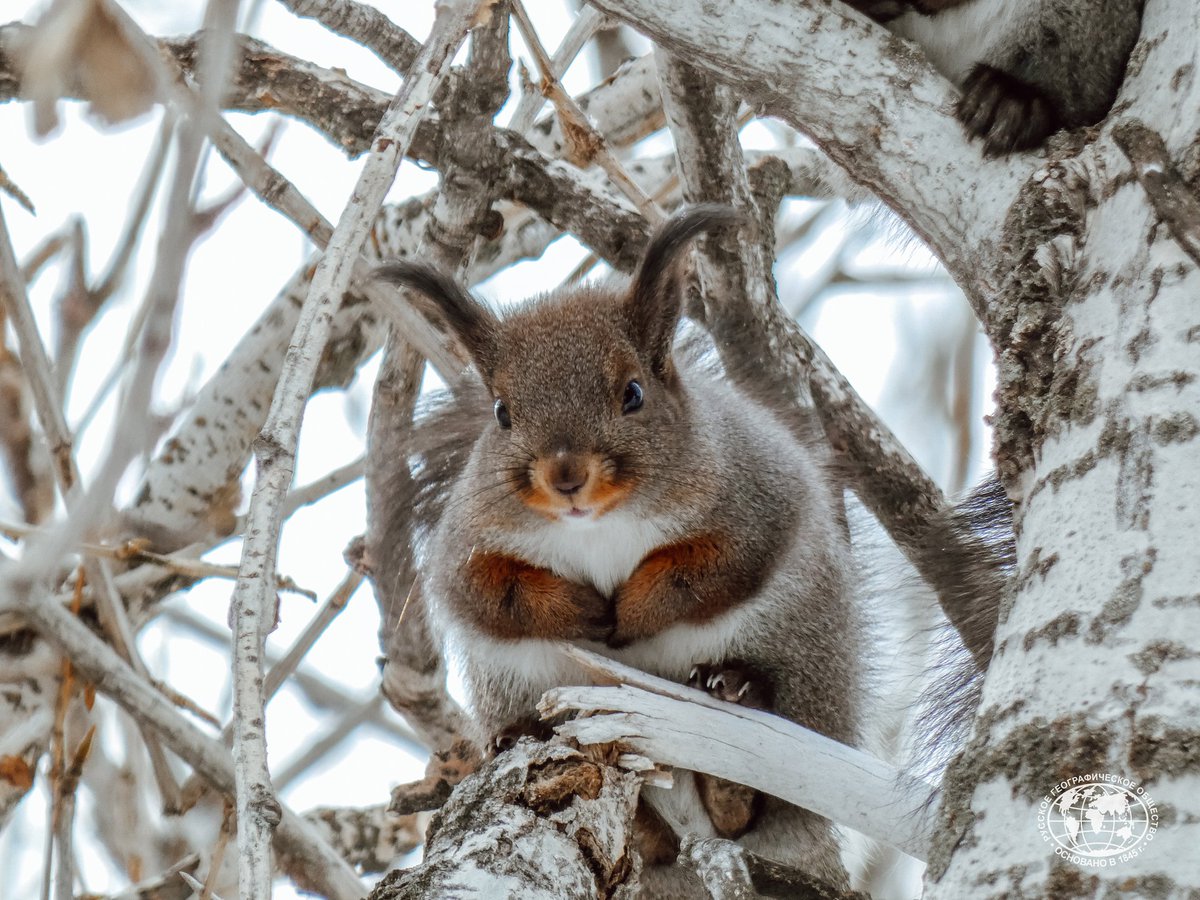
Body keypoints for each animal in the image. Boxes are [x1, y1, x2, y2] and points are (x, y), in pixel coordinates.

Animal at [376, 207, 873, 892]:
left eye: (633, 393)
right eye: (502, 412)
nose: (565, 475)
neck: (596, 526)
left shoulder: (755, 496)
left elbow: (717, 568)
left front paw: (632, 610)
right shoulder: (466, 544)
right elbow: (489, 594)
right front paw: (579, 610)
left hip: (805, 675)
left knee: (752, 809)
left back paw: (732, 719)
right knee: (652, 836)